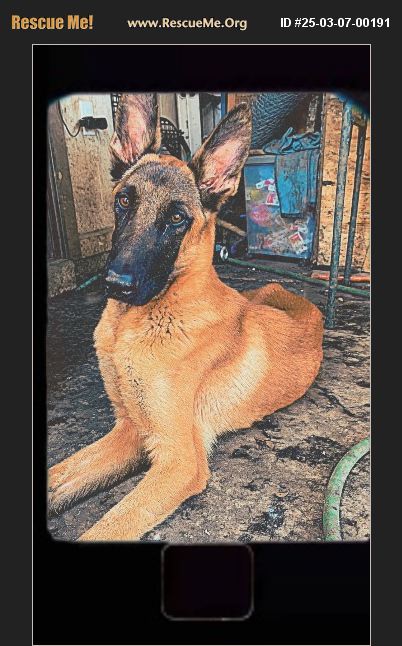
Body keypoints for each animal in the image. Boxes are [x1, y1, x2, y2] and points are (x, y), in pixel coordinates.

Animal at [48, 94, 323, 541]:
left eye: (177, 218)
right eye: (124, 200)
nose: (115, 284)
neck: (132, 325)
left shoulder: (178, 460)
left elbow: (109, 526)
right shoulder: (129, 431)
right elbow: (57, 478)